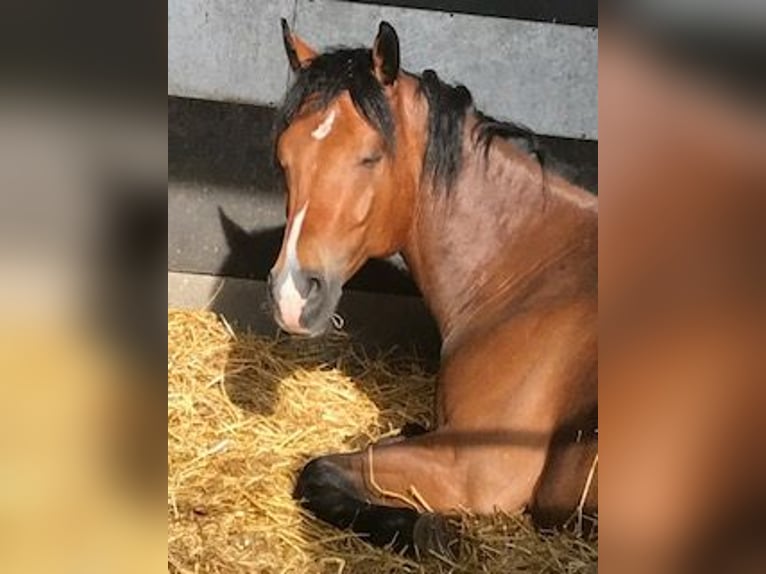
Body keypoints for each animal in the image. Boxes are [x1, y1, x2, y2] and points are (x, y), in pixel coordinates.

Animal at [267, 19, 598, 555]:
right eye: (284, 159)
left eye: (371, 157)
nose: (292, 295)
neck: (538, 274)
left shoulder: (476, 468)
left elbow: (317, 472)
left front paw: (426, 530)